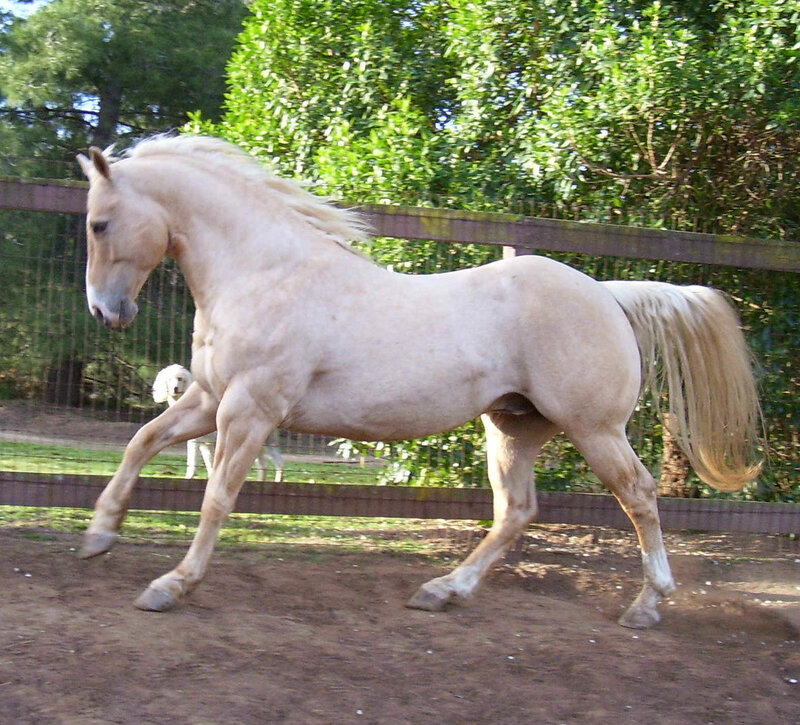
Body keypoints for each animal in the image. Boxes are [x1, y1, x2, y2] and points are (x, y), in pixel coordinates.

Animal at [152, 364, 284, 482]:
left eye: (180, 379)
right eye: (169, 379)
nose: (175, 389)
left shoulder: (195, 441)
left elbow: (192, 461)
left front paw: (189, 477)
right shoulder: (205, 444)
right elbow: (209, 464)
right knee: (270, 463)